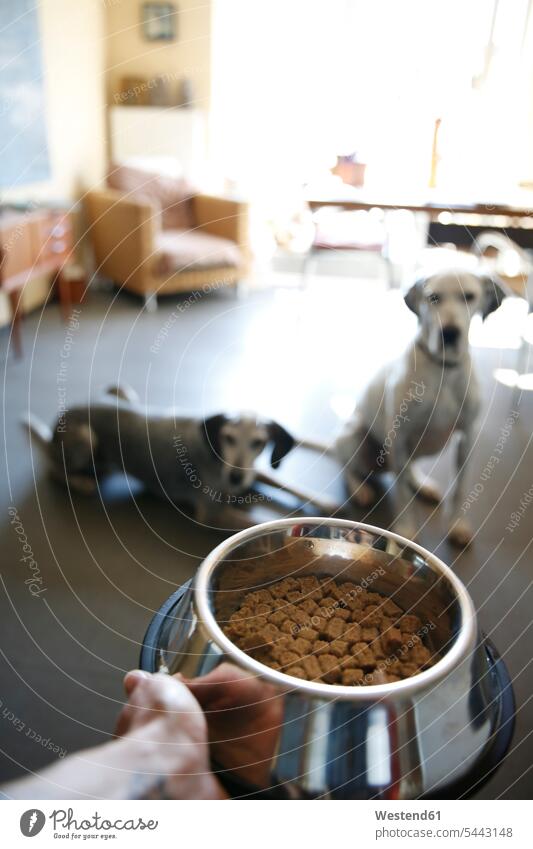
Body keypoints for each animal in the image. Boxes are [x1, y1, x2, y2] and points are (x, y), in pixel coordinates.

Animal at [27, 386, 334, 528]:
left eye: (259, 442)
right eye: (228, 437)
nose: (236, 477)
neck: (219, 459)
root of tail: (61, 417)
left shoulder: (253, 472)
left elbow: (291, 486)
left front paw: (328, 503)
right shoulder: (211, 514)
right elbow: (261, 522)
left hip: (122, 394)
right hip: (85, 438)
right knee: (52, 470)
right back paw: (81, 482)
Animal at [334, 268, 504, 548]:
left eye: (468, 296)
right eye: (433, 297)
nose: (450, 332)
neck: (443, 370)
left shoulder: (466, 438)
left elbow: (459, 489)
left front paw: (457, 525)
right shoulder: (399, 436)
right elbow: (402, 493)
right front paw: (405, 530)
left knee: (408, 470)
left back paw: (422, 485)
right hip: (353, 435)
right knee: (349, 467)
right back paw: (360, 489)